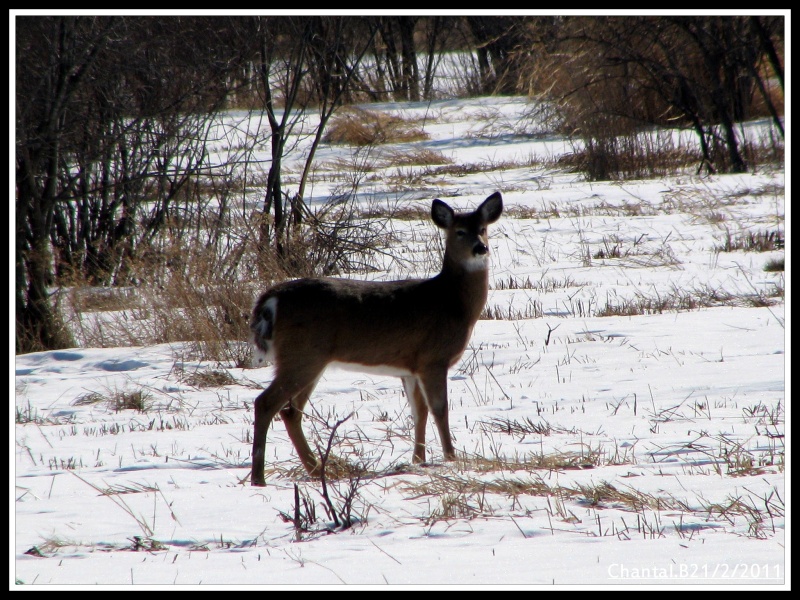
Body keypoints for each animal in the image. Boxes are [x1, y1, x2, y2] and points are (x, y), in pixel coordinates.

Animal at [247, 192, 504, 488]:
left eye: (483, 229)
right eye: (459, 231)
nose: (480, 248)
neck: (453, 302)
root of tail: (271, 299)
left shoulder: (411, 367)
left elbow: (419, 412)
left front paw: (419, 461)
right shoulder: (433, 358)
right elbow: (440, 409)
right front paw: (451, 458)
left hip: (309, 359)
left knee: (290, 412)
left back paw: (315, 470)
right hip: (302, 355)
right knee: (266, 403)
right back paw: (260, 478)